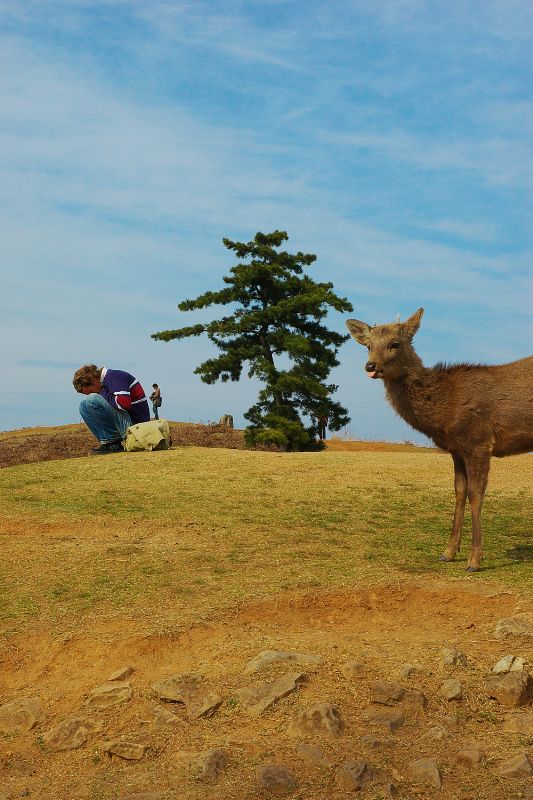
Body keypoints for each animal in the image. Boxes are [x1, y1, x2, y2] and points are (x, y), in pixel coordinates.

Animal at [346, 308, 533, 571]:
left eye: (395, 344)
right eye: (368, 346)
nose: (370, 366)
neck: (444, 410)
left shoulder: (478, 441)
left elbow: (476, 495)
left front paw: (474, 560)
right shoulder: (457, 449)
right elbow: (459, 492)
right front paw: (449, 552)